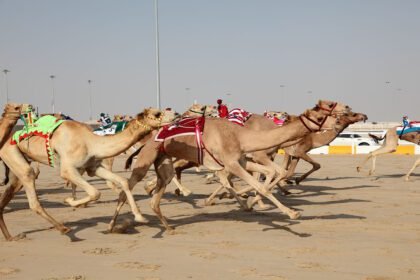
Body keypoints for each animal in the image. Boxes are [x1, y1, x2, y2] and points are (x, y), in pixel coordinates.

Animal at [0, 107, 177, 241]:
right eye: (157, 113)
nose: (175, 114)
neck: (91, 142)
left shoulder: (93, 166)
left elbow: (123, 181)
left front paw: (139, 216)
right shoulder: (68, 169)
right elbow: (94, 192)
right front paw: (70, 201)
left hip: (18, 164)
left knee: (9, 193)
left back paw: (11, 237)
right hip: (13, 154)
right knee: (32, 194)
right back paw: (64, 229)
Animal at [108, 101, 348, 233]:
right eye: (320, 114)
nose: (341, 118)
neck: (241, 136)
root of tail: (149, 138)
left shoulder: (242, 160)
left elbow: (270, 174)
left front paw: (250, 202)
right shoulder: (232, 162)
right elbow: (259, 185)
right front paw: (291, 213)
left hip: (163, 162)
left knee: (157, 195)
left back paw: (168, 227)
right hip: (147, 158)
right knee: (127, 187)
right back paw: (114, 225)